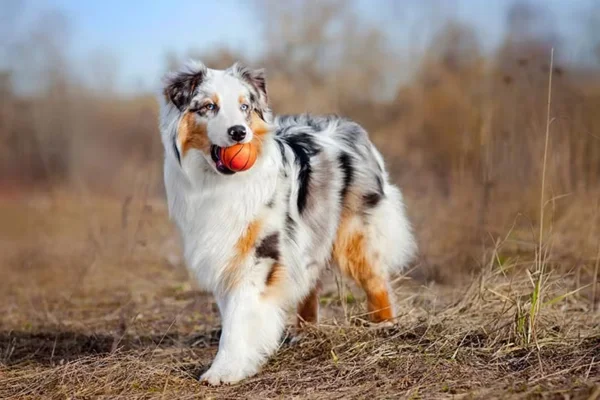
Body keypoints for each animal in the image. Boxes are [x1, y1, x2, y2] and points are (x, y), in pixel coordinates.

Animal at [157, 61, 414, 384]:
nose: (239, 133)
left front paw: (225, 369)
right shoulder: (226, 253)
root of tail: (350, 126)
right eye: (208, 106)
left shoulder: (260, 253)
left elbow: (239, 316)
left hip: (355, 233)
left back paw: (385, 325)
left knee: (375, 280)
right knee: (310, 282)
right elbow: (233, 314)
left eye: (244, 107)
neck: (219, 183)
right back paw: (306, 332)